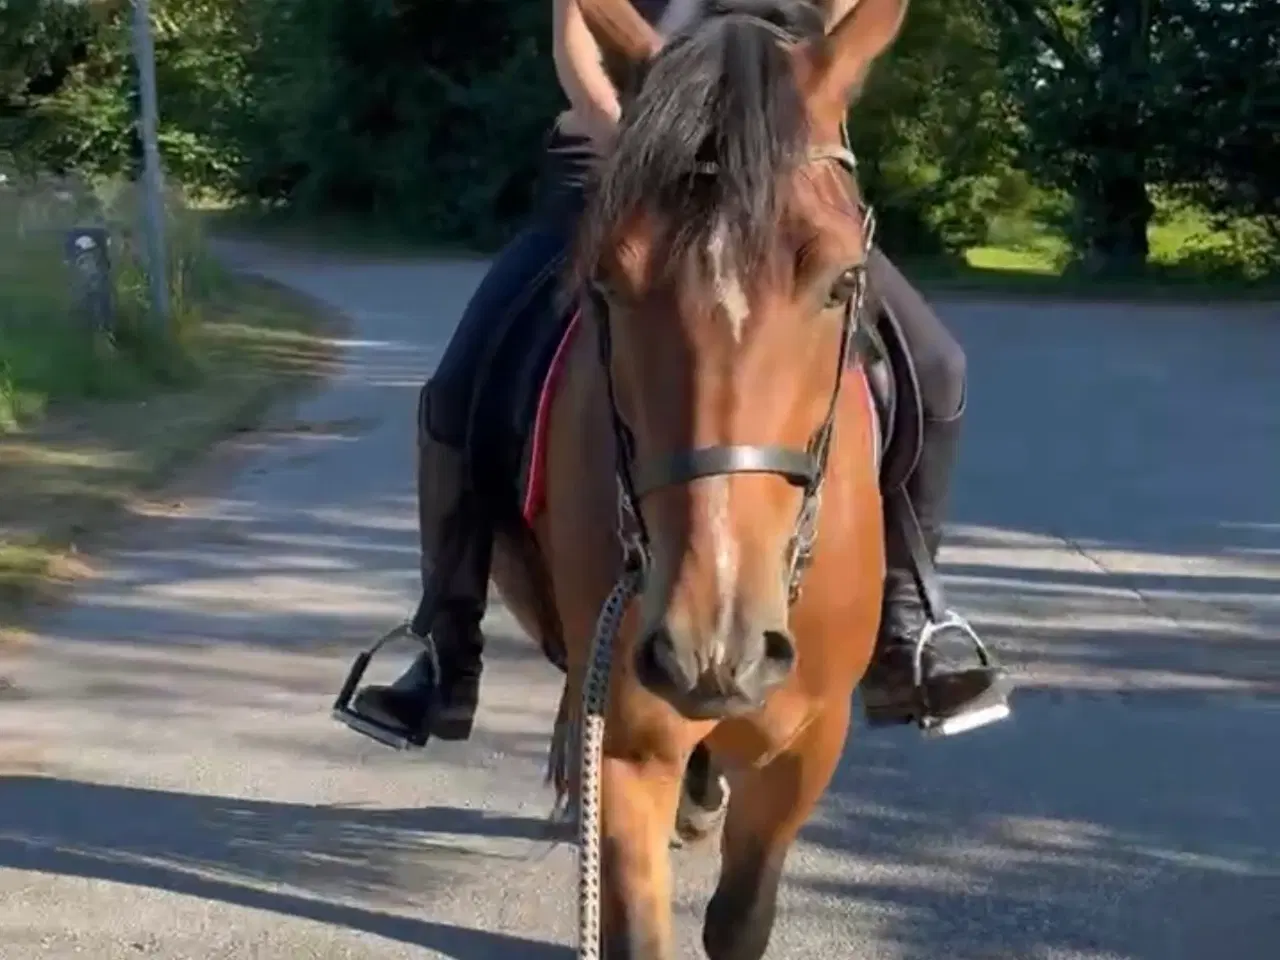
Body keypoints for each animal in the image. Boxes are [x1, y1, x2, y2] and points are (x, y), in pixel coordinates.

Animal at [483, 0, 906, 957]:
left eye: (843, 282)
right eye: (605, 281)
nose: (709, 648)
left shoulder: (809, 746)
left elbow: (741, 915)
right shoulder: (630, 741)